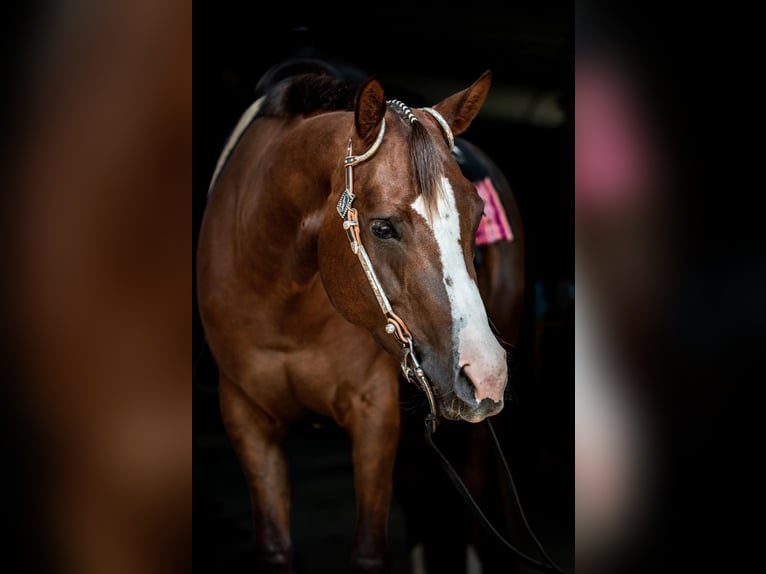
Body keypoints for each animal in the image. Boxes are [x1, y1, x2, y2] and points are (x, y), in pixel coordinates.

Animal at [196, 60, 522, 573]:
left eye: (477, 217)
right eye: (382, 227)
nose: (485, 372)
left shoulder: (375, 414)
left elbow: (369, 549)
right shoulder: (247, 417)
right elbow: (275, 547)